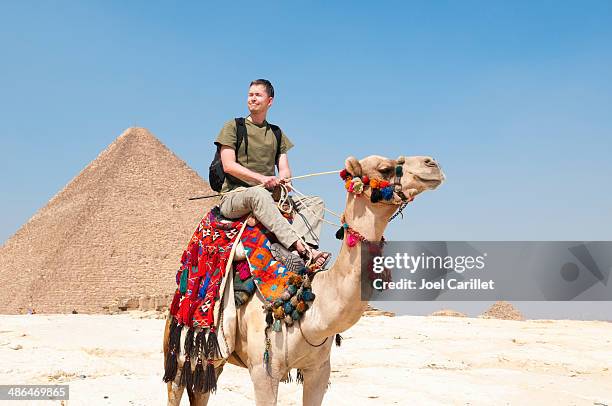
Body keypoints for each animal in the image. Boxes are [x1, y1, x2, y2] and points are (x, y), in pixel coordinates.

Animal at [164, 154, 444, 404]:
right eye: (385, 168)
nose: (432, 164)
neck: (311, 310)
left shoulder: (319, 370)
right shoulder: (263, 370)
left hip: (213, 358)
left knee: (200, 391)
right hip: (182, 347)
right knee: (177, 387)